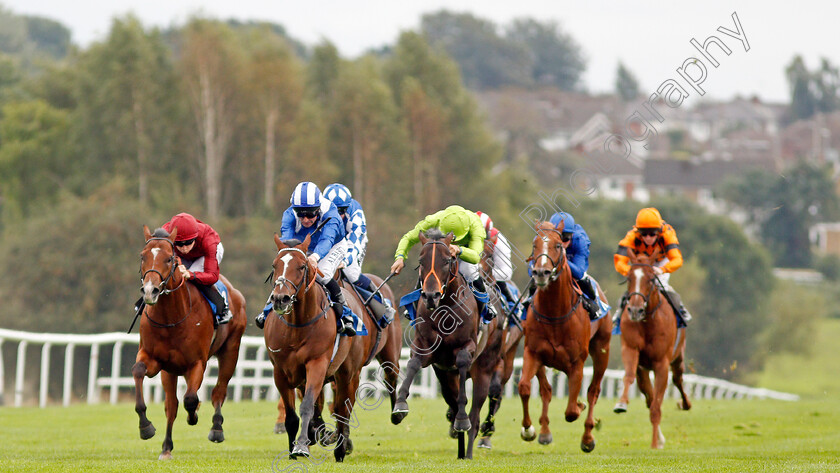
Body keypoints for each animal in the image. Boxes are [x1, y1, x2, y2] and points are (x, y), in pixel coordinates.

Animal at [134, 227, 246, 460]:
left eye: (169, 258)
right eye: (142, 256)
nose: (150, 291)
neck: (171, 318)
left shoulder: (196, 363)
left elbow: (191, 399)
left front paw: (193, 416)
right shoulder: (154, 359)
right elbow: (138, 371)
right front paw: (145, 427)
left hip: (231, 350)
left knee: (219, 391)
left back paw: (216, 429)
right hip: (170, 370)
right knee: (172, 405)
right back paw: (166, 447)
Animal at [392, 229, 502, 458]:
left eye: (446, 260)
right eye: (421, 261)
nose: (430, 296)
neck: (446, 309)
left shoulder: (467, 347)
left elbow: (462, 362)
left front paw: (461, 419)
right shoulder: (428, 349)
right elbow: (413, 363)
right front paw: (400, 405)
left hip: (484, 369)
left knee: (475, 415)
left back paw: (467, 451)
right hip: (444, 376)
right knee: (453, 400)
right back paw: (459, 449)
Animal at [520, 220, 612, 450]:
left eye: (558, 245)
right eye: (534, 245)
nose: (540, 272)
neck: (555, 313)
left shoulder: (576, 362)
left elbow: (571, 411)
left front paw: (579, 405)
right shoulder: (532, 352)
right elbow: (525, 387)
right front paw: (528, 430)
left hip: (602, 350)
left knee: (593, 390)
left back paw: (587, 437)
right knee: (546, 389)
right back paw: (544, 432)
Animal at [612, 249, 692, 448]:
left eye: (650, 279)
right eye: (629, 278)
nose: (635, 310)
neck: (647, 322)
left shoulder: (661, 363)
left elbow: (657, 406)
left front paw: (655, 444)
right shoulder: (631, 350)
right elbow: (629, 376)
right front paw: (621, 404)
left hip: (678, 357)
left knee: (678, 380)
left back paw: (685, 404)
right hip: (644, 369)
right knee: (649, 396)